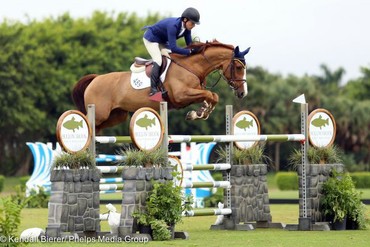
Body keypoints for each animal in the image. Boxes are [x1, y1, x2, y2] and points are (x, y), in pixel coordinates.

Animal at [71, 40, 251, 132]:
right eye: (238, 67)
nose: (243, 93)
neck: (191, 67)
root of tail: (95, 79)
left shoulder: (193, 93)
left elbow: (213, 96)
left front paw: (200, 113)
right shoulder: (181, 95)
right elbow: (209, 95)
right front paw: (199, 113)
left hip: (116, 116)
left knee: (97, 128)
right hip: (100, 113)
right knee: (87, 122)